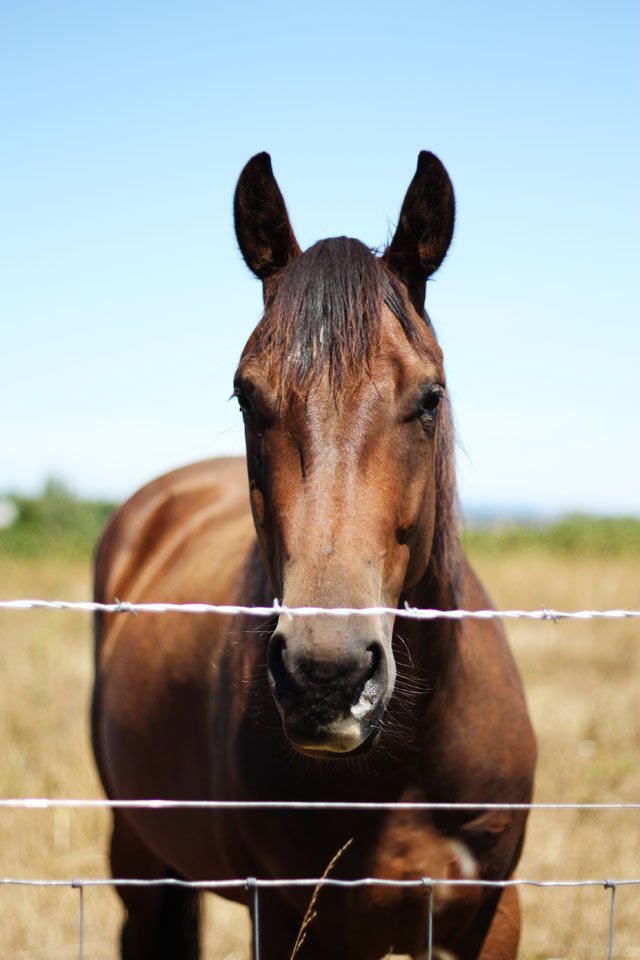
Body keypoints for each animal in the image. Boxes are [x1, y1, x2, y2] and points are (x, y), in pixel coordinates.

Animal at [92, 152, 536, 960]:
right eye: (245, 396)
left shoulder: (492, 914)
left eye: (430, 397)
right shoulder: (291, 917)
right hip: (138, 860)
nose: (327, 677)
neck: (398, 770)